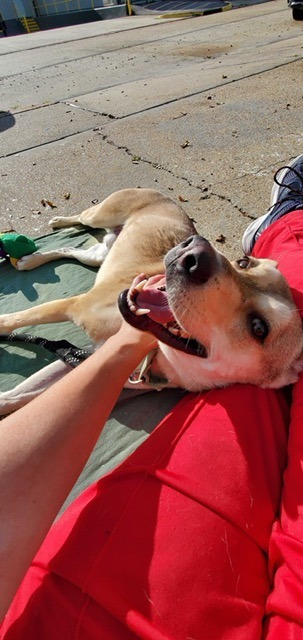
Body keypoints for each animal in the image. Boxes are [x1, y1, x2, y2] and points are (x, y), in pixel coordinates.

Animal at [0, 188, 303, 412]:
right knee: (81, 220)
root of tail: (165, 194)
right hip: (100, 215)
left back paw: (31, 259)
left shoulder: (87, 363)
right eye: (243, 261)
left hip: (100, 254)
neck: (154, 353)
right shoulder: (75, 307)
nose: (195, 252)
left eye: (259, 328)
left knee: (71, 250)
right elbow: (17, 319)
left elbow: (17, 396)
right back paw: (58, 223)